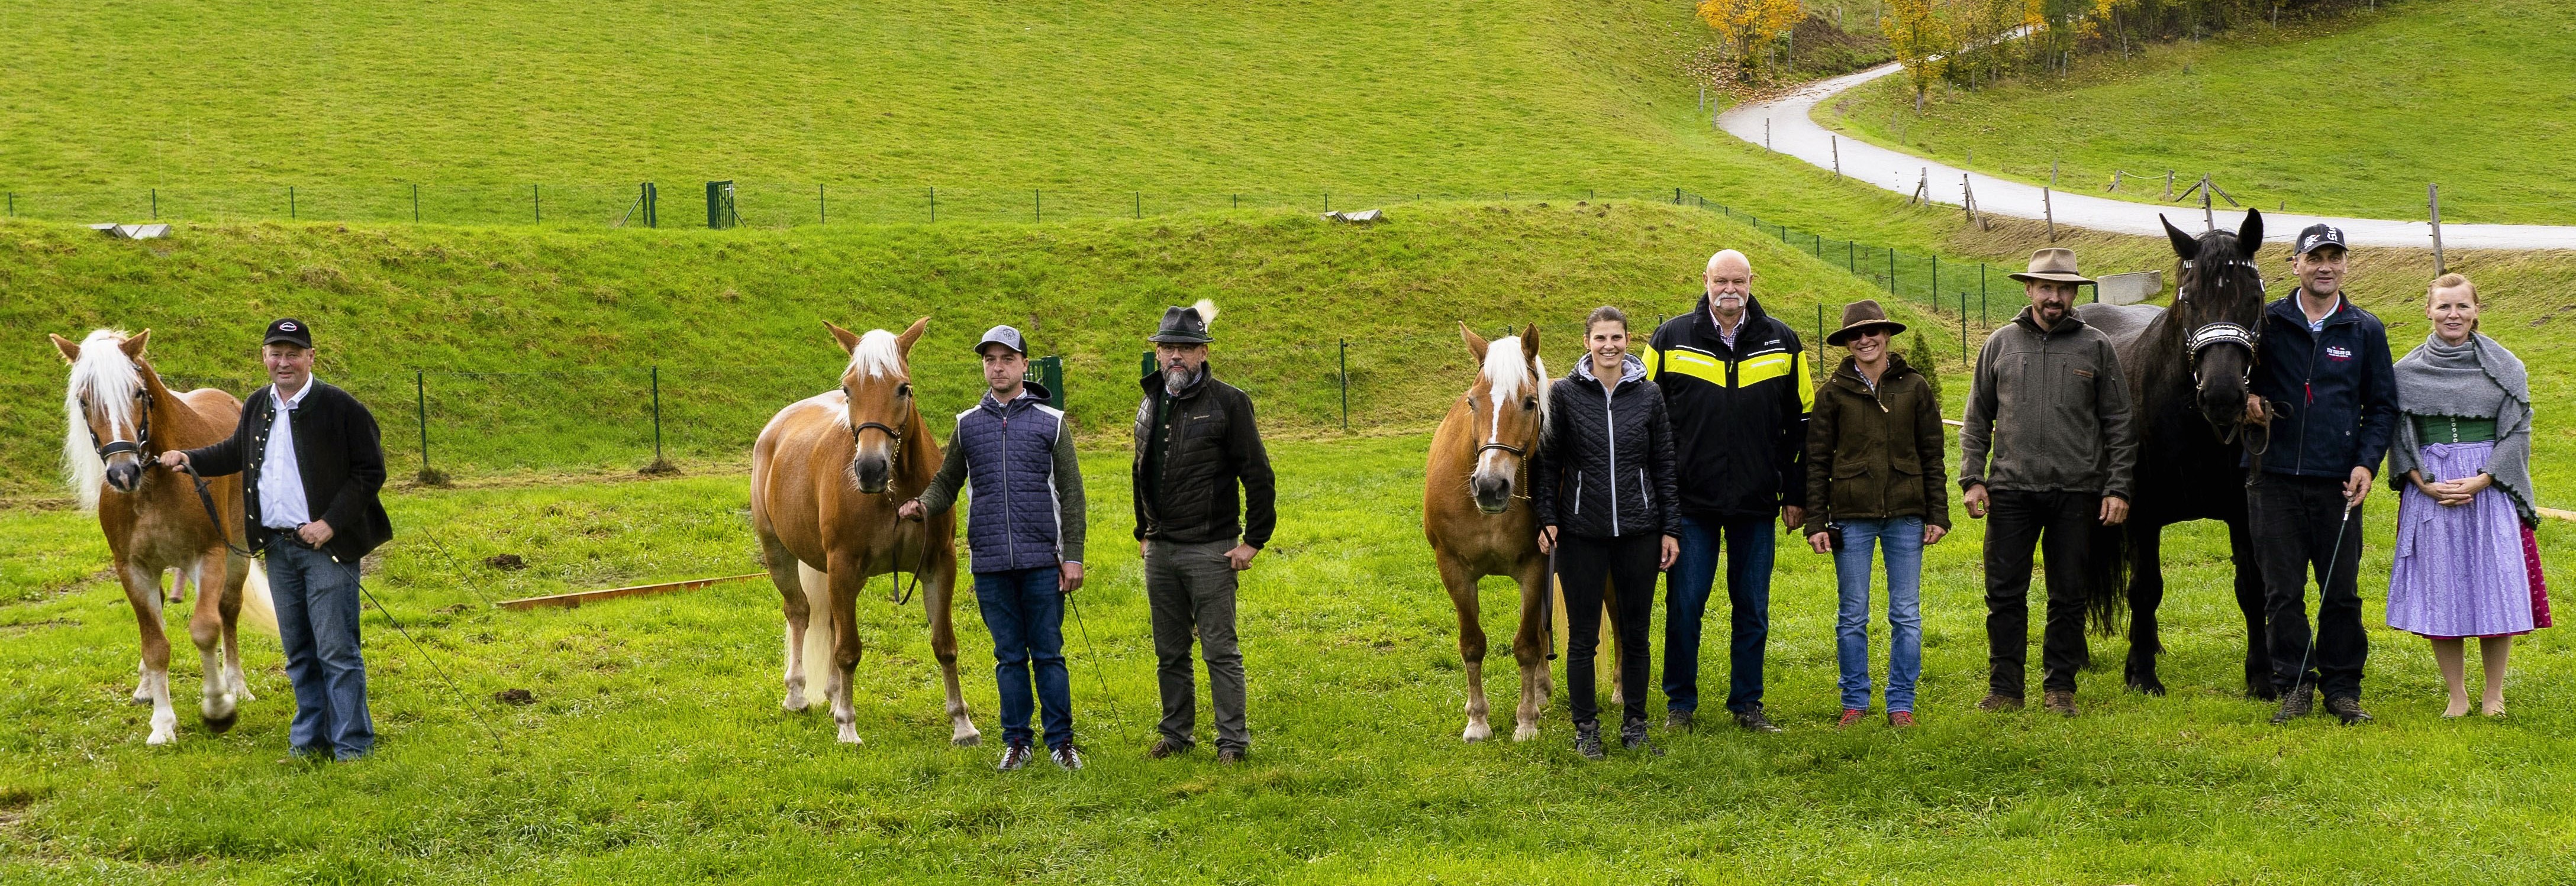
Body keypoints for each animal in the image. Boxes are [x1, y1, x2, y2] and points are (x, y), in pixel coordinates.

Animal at [53, 328, 279, 742]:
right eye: (84, 399)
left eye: (138, 393)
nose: (123, 473)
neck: (155, 483)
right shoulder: (133, 569)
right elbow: (155, 644)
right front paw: (162, 722)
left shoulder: (210, 556)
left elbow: (206, 629)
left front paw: (219, 707)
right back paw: (146, 688)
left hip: (236, 554)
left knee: (228, 611)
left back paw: (236, 684)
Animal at [752, 318, 984, 746]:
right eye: (848, 389)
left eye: (903, 388)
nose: (871, 469)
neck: (896, 492)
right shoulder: (843, 565)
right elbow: (848, 651)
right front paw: (848, 726)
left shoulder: (940, 564)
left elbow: (944, 645)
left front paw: (962, 725)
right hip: (780, 553)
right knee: (800, 613)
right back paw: (797, 695)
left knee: (829, 621)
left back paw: (830, 696)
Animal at [1432, 323, 1607, 742]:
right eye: (1472, 402)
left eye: (1529, 403)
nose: (1489, 486)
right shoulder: (1454, 571)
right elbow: (1472, 644)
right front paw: (1478, 721)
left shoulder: (1534, 567)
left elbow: (1526, 645)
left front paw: (1526, 722)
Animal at [2071, 207, 2277, 700]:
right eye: (2190, 300)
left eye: (2253, 299)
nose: (2222, 397)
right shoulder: (2141, 515)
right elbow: (2145, 589)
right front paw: (2141, 675)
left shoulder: (2241, 514)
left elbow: (2250, 588)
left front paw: (2260, 677)